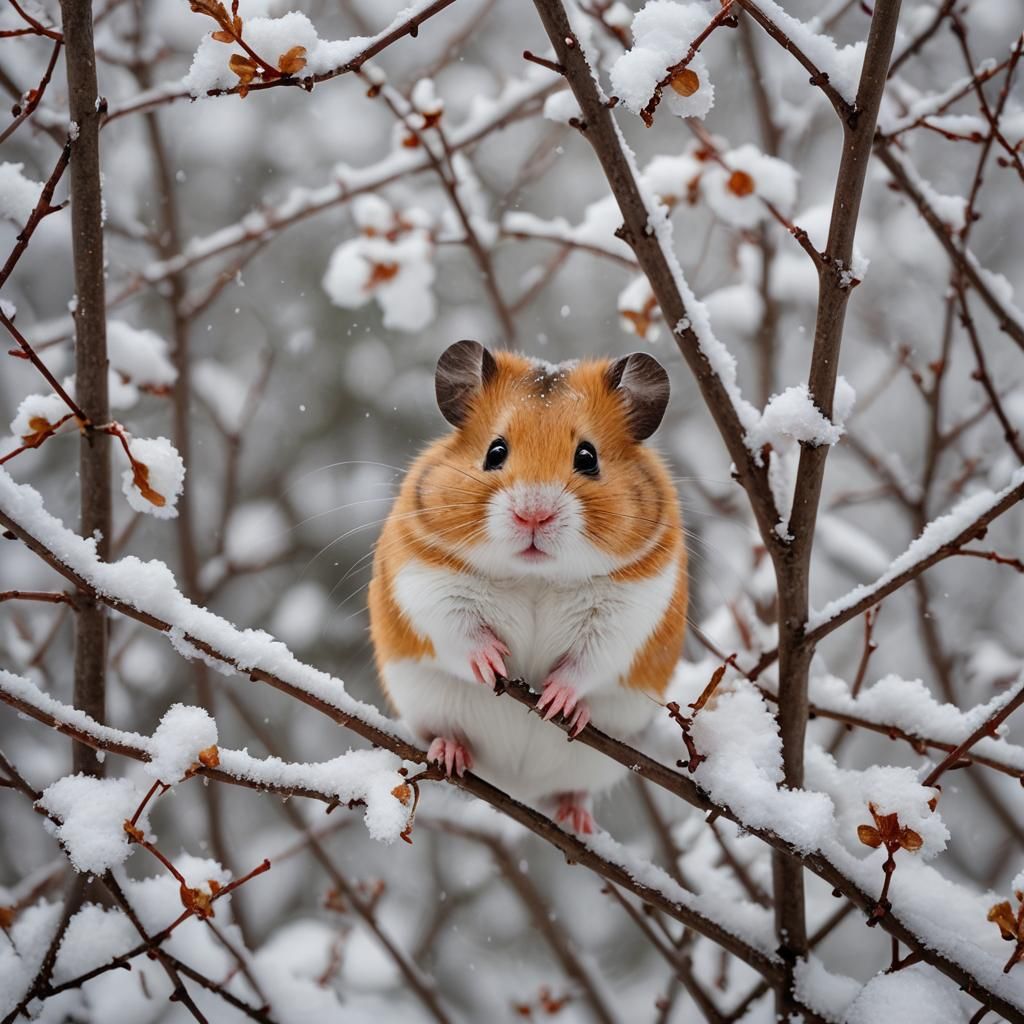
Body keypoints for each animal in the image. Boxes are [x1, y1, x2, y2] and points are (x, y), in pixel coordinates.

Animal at [368, 340, 687, 833]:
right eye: (495, 451)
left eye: (587, 457)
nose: (533, 515)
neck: (536, 577)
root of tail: (518, 790)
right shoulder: (425, 581)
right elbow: (459, 632)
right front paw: (493, 663)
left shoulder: (631, 609)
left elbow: (590, 659)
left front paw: (557, 700)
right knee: (450, 738)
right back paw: (450, 753)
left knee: (573, 790)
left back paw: (578, 819)